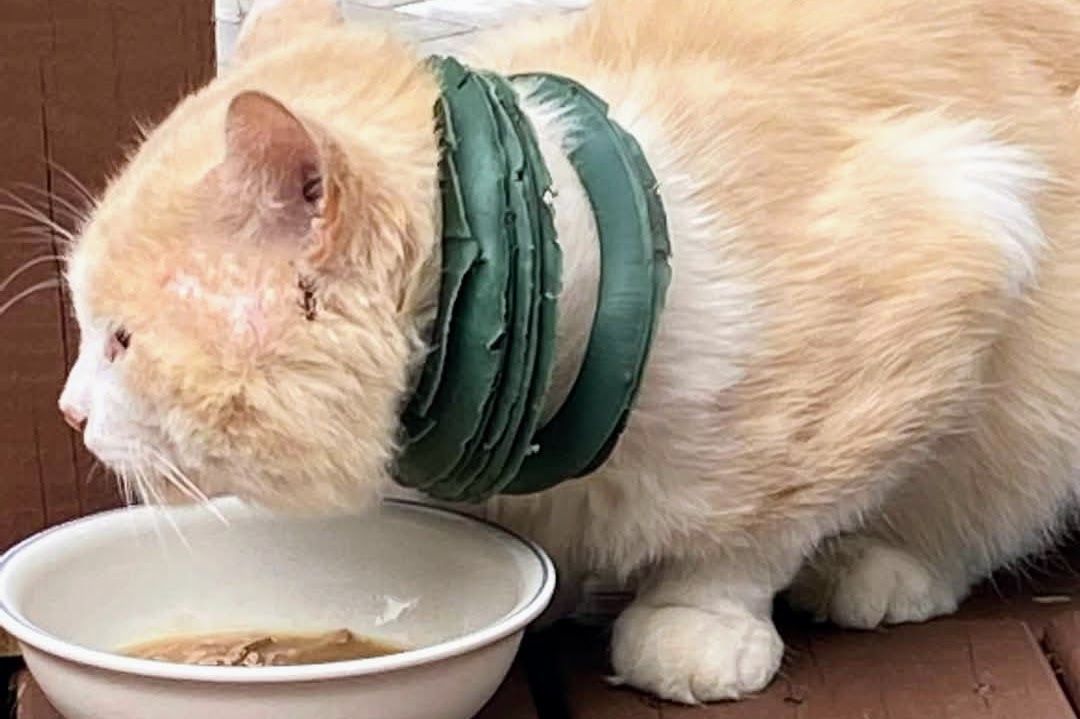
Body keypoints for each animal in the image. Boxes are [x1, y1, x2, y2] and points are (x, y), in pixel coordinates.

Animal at [52, 0, 1080, 699]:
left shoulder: (969, 230)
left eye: (122, 340)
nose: (68, 409)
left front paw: (693, 623)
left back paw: (882, 566)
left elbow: (754, 534)